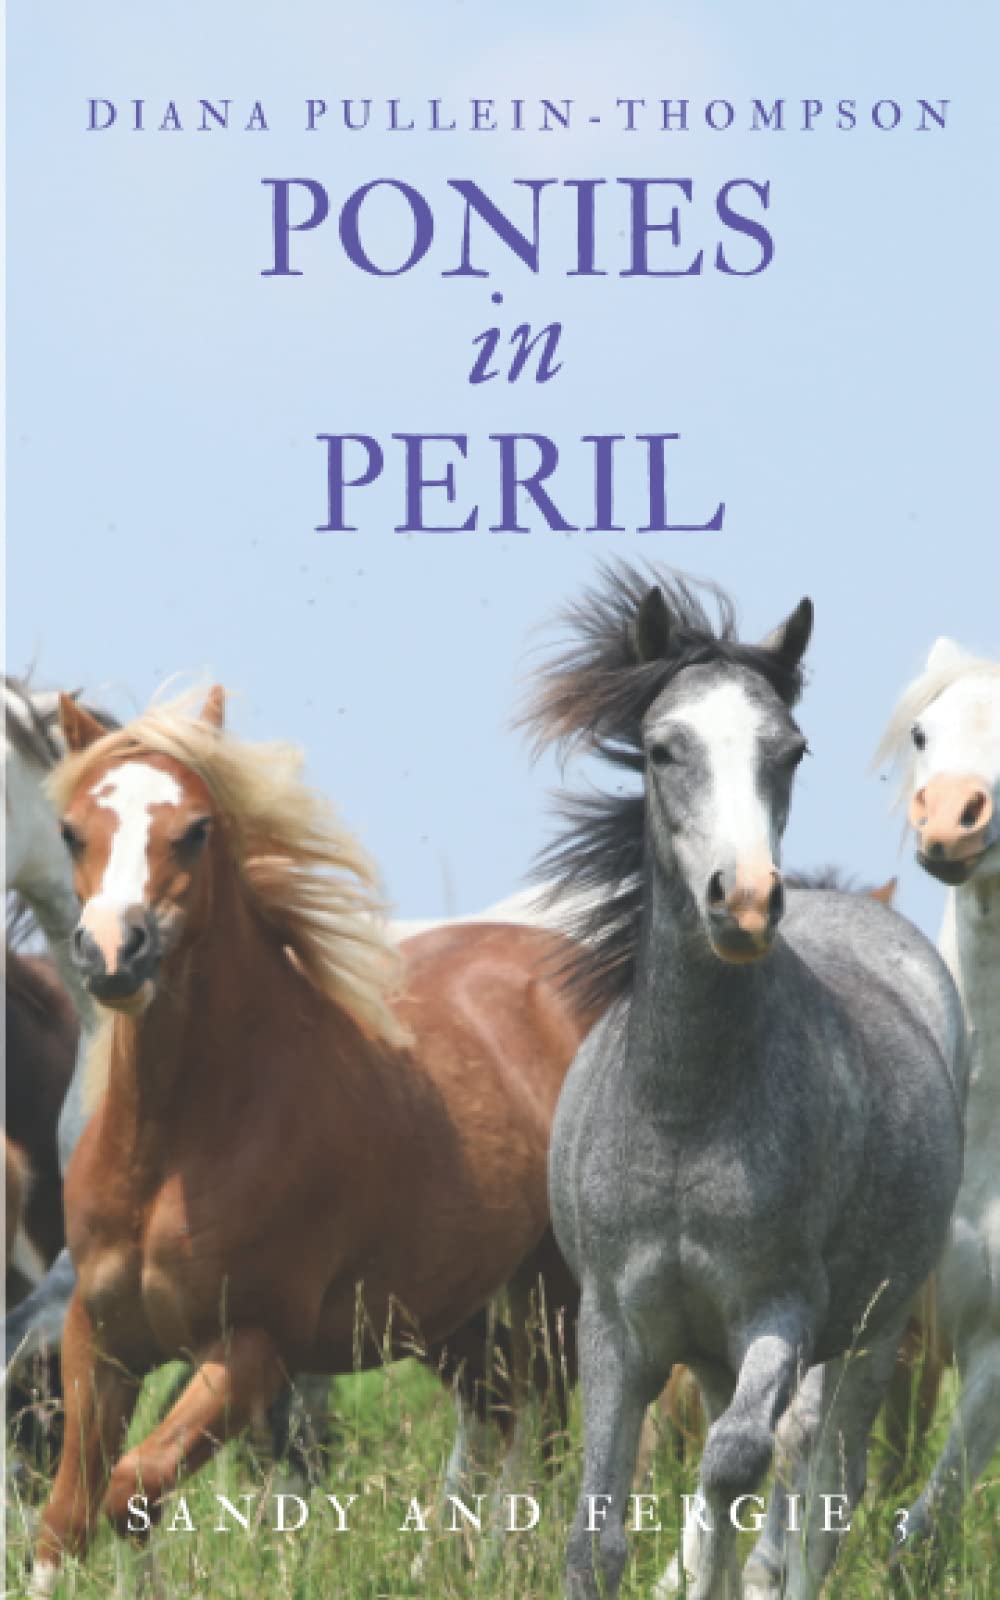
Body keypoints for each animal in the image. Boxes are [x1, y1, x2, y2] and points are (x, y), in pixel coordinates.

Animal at [27, 687, 586, 1595]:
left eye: (195, 829)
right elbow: (70, 1515)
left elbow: (134, 1487)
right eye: (74, 830)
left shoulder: (257, 1346)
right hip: (442, 1312)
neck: (177, 1146)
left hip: (554, 1290)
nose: (114, 954)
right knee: (502, 1408)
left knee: (555, 1427)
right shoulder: (99, 1340)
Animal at [523, 564, 968, 1600]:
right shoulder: (616, 1331)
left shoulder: (780, 1312)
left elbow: (735, 1466)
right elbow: (600, 1536)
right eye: (662, 748)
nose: (751, 901)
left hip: (871, 1336)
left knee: (823, 1478)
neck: (684, 1113)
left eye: (790, 750)